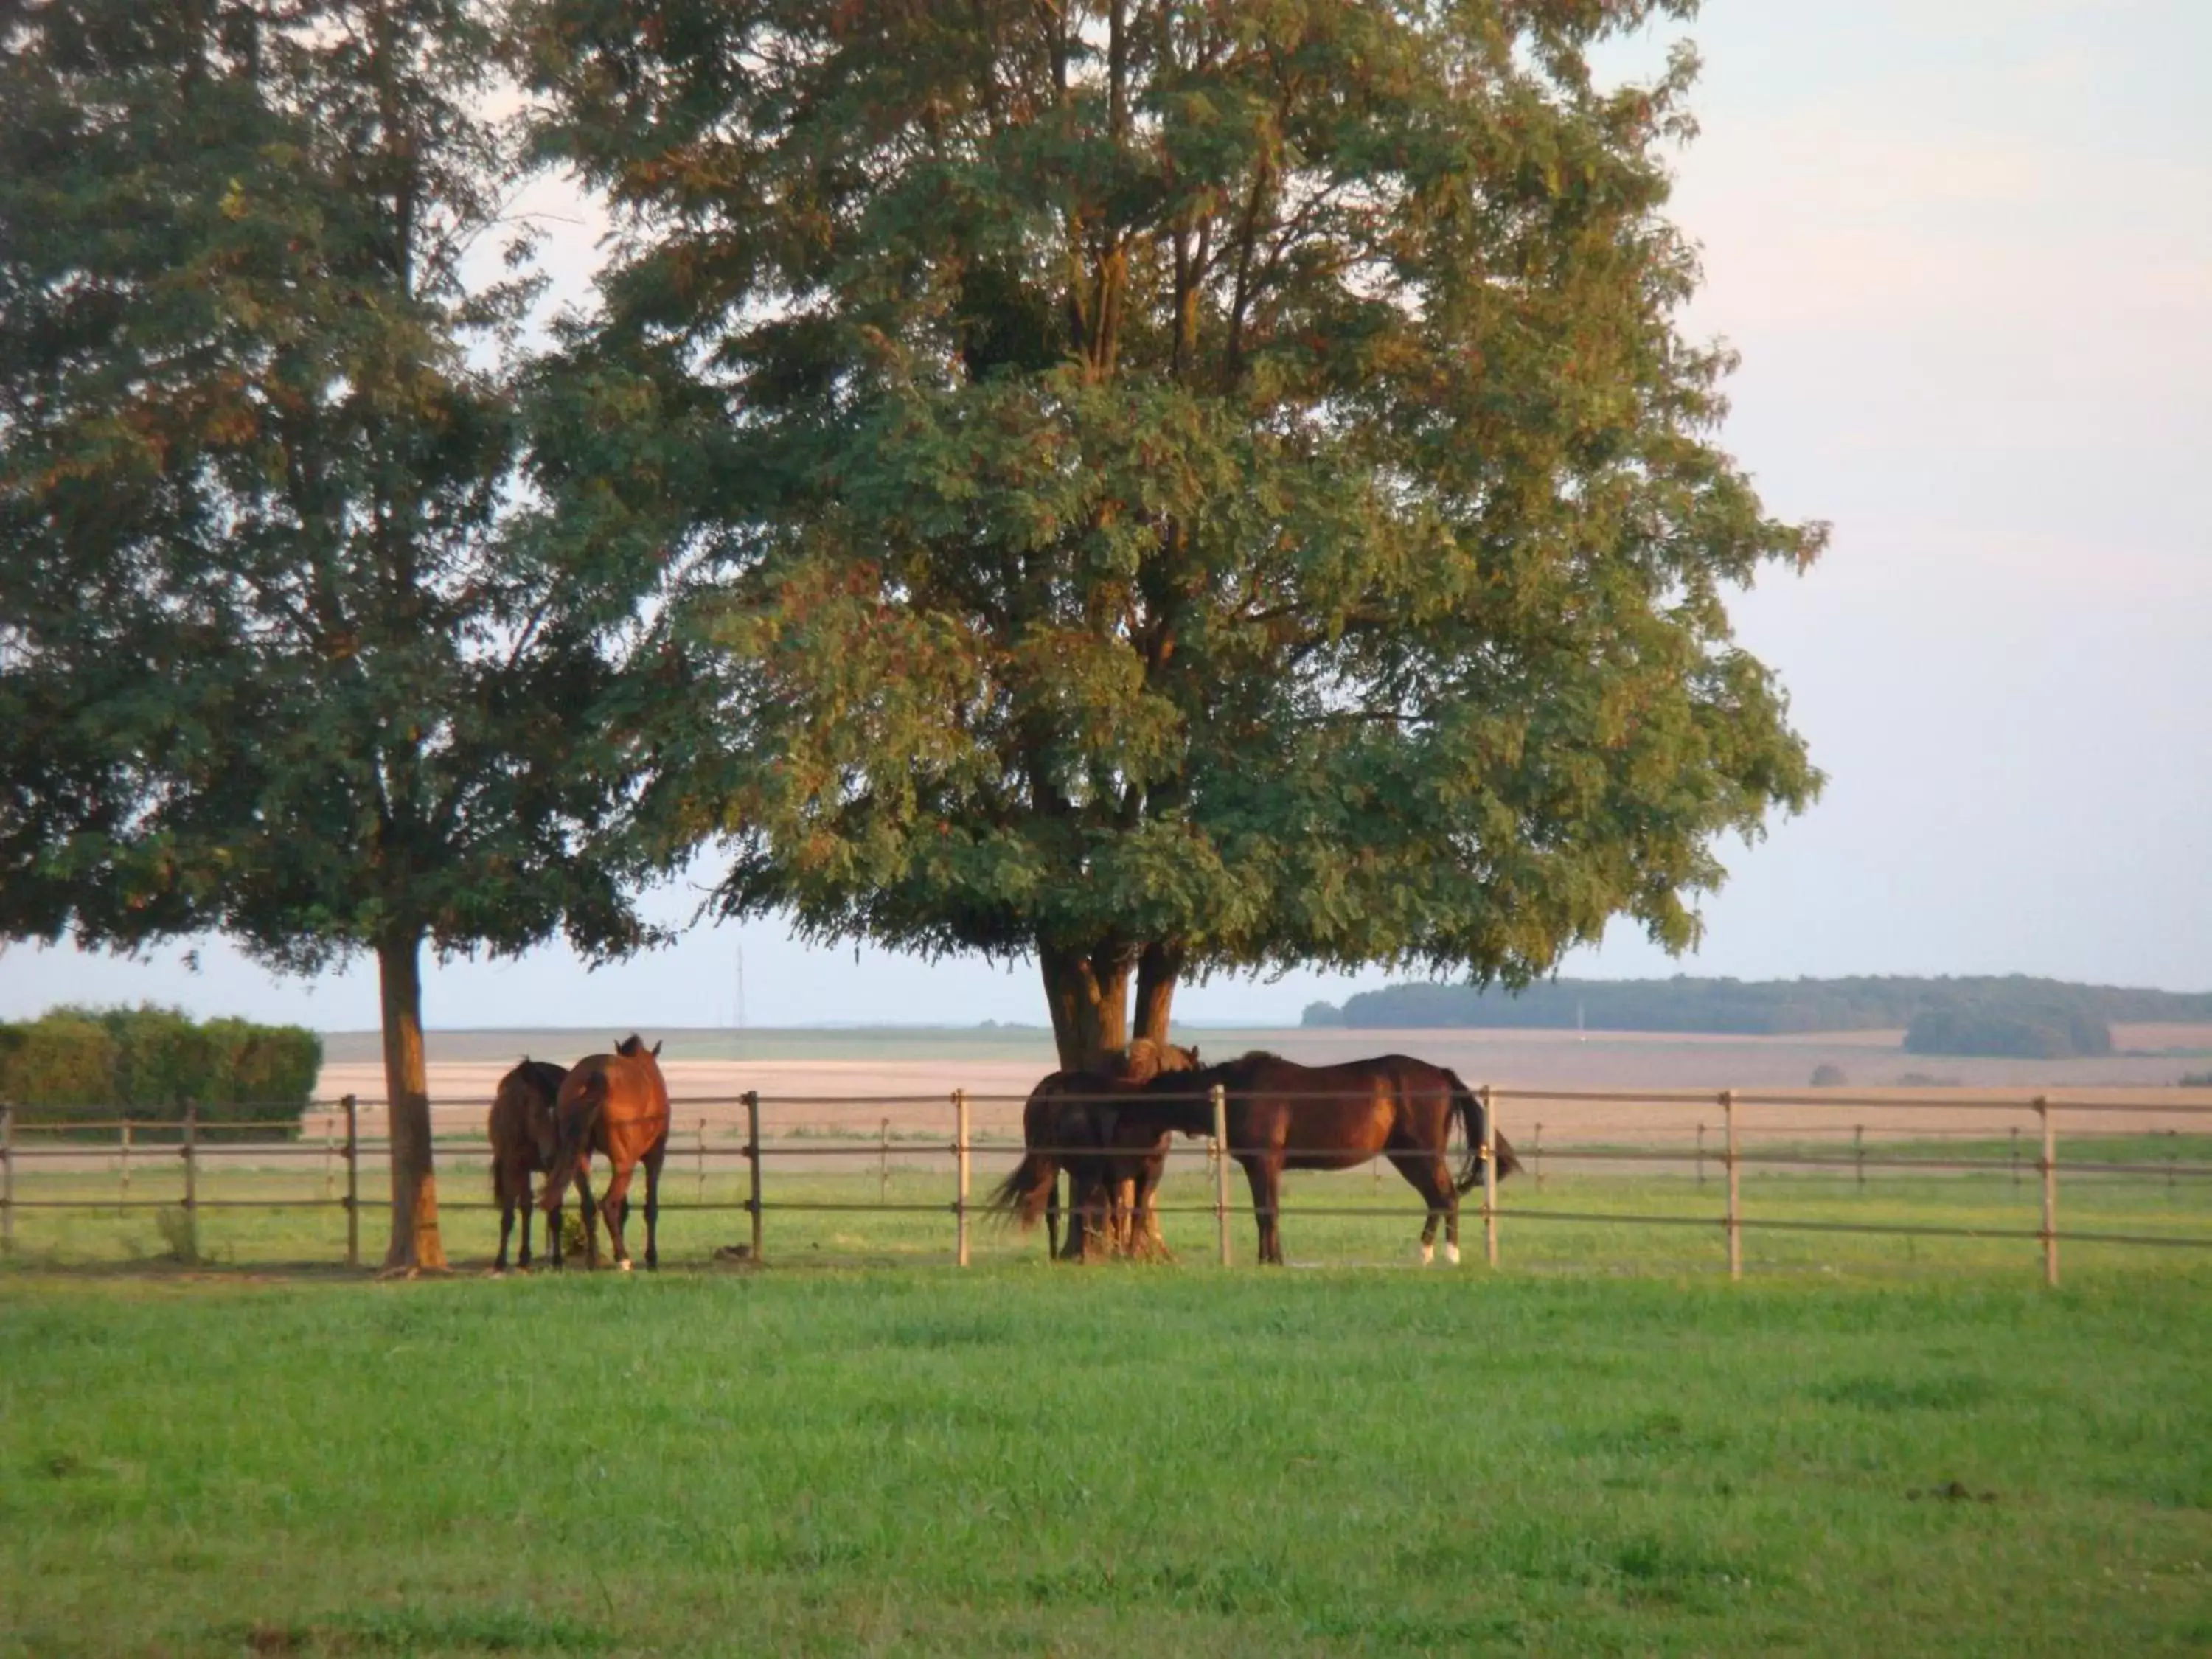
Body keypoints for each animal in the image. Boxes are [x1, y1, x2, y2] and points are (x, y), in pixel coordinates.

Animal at [487, 1057, 566, 1283]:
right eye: (538, 1114)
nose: (552, 1156)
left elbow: (555, 1215)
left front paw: (558, 1261)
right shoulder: (513, 1167)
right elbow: (508, 1217)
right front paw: (500, 1263)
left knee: (528, 1206)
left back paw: (525, 1258)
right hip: (520, 1171)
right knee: (525, 1207)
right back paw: (522, 1259)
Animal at [538, 1040, 668, 1274]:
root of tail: (596, 1074)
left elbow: (623, 1208)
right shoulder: (654, 1157)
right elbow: (650, 1207)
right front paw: (652, 1259)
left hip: (581, 1158)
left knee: (589, 1206)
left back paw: (593, 1260)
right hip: (625, 1164)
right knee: (607, 1204)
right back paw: (622, 1259)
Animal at [1133, 1053, 1531, 1274]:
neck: (1235, 1090)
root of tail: (1441, 1073)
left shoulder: (1264, 1163)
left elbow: (1268, 1212)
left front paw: (1271, 1260)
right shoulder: (1258, 1167)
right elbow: (1265, 1212)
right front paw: (1269, 1258)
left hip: (1421, 1155)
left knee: (1446, 1197)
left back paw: (1447, 1256)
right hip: (1406, 1157)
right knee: (1437, 1198)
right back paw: (1427, 1255)